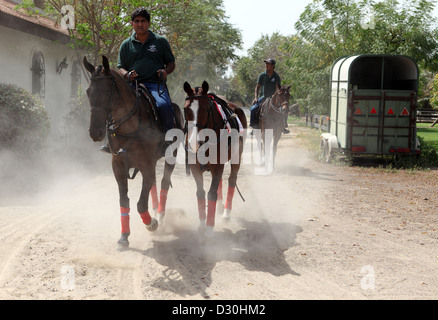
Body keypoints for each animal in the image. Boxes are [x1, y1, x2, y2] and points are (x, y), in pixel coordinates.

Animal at [83, 56, 182, 249]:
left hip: (170, 157)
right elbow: (124, 201)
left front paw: (151, 224)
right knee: (153, 184)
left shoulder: (147, 165)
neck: (130, 127)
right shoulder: (118, 167)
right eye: (88, 91)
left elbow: (141, 204)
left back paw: (159, 215)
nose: (95, 132)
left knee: (164, 183)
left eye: (107, 91)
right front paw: (124, 236)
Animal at [183, 81, 248, 236]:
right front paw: (202, 224)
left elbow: (211, 194)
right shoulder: (195, 167)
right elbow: (201, 192)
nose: (194, 142)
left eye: (207, 110)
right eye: (185, 110)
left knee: (231, 180)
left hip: (237, 157)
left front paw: (209, 227)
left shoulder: (218, 165)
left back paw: (226, 212)